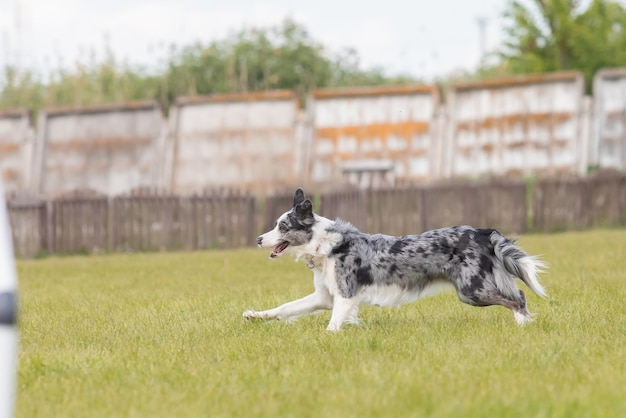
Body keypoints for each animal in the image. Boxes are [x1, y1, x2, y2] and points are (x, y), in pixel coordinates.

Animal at [244, 189, 544, 330]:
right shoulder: (324, 297)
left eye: (283, 226)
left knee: (518, 297)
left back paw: (522, 324)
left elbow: (332, 325)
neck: (327, 246)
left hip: (472, 290)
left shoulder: (346, 295)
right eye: (275, 225)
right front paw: (255, 315)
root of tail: (480, 231)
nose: (258, 239)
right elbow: (285, 308)